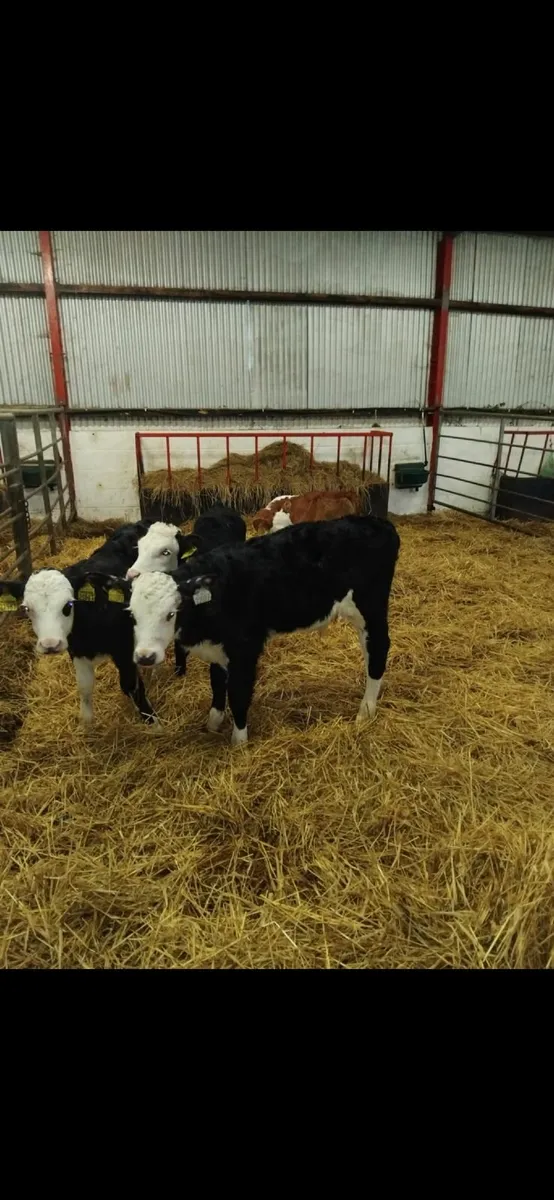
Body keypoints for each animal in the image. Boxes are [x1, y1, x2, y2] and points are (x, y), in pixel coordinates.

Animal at [124, 515, 400, 745]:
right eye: (133, 615)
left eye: (171, 613)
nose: (145, 657)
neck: (216, 592)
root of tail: (377, 522)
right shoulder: (217, 647)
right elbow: (217, 684)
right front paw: (213, 723)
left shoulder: (245, 648)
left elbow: (238, 693)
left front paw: (239, 743)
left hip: (370, 607)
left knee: (378, 648)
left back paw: (366, 711)